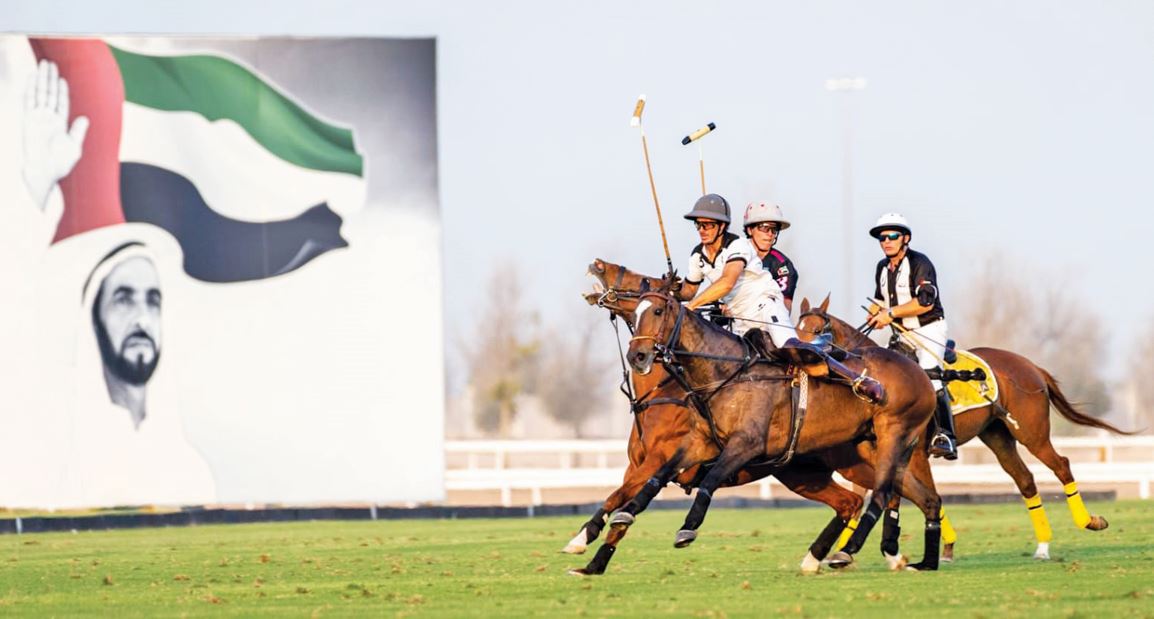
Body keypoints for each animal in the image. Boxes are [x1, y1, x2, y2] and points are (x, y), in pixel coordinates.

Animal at [798, 295, 1130, 561]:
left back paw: (1089, 521)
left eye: (816, 331)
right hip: (997, 436)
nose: (799, 357)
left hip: (1031, 433)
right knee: (1025, 480)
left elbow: (919, 492)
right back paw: (1043, 547)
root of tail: (1032, 367)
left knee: (1061, 465)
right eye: (798, 329)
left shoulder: (914, 453)